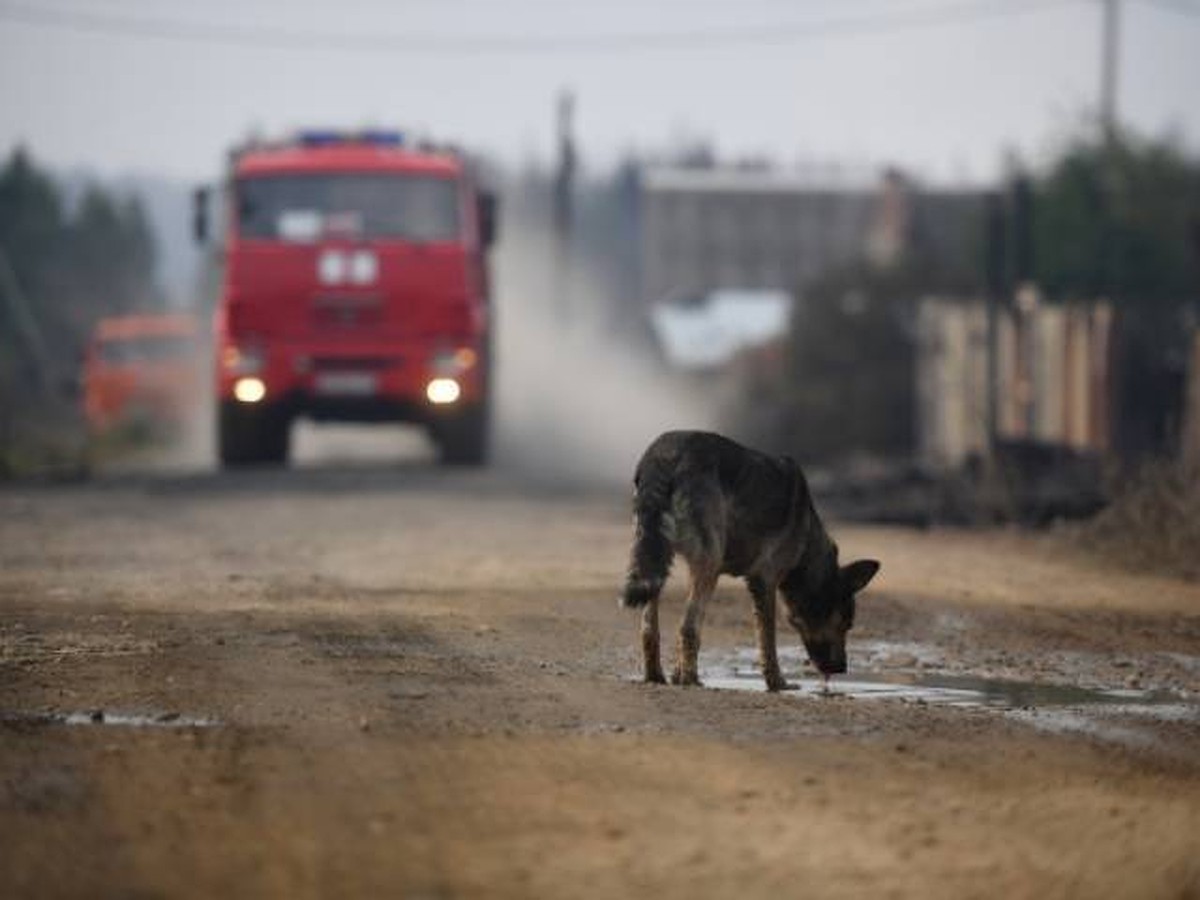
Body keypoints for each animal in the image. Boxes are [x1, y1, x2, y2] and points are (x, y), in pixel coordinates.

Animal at [624, 434, 878, 696]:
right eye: (847, 624)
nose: (841, 668)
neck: (808, 542)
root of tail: (663, 454)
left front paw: (677, 675)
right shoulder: (764, 580)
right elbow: (768, 641)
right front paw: (778, 683)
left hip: (656, 559)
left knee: (649, 629)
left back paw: (656, 676)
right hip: (709, 565)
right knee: (688, 627)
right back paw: (692, 680)